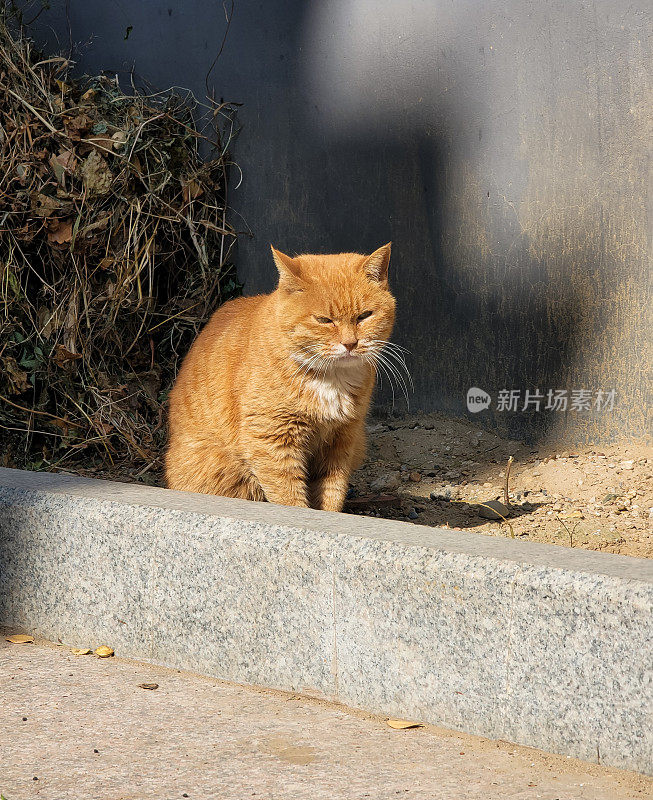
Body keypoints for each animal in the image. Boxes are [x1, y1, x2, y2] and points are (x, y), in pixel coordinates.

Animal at [166, 241, 394, 510]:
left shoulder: (342, 440)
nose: (350, 343)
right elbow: (289, 495)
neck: (332, 378)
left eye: (364, 316)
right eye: (324, 320)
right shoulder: (272, 439)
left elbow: (332, 492)